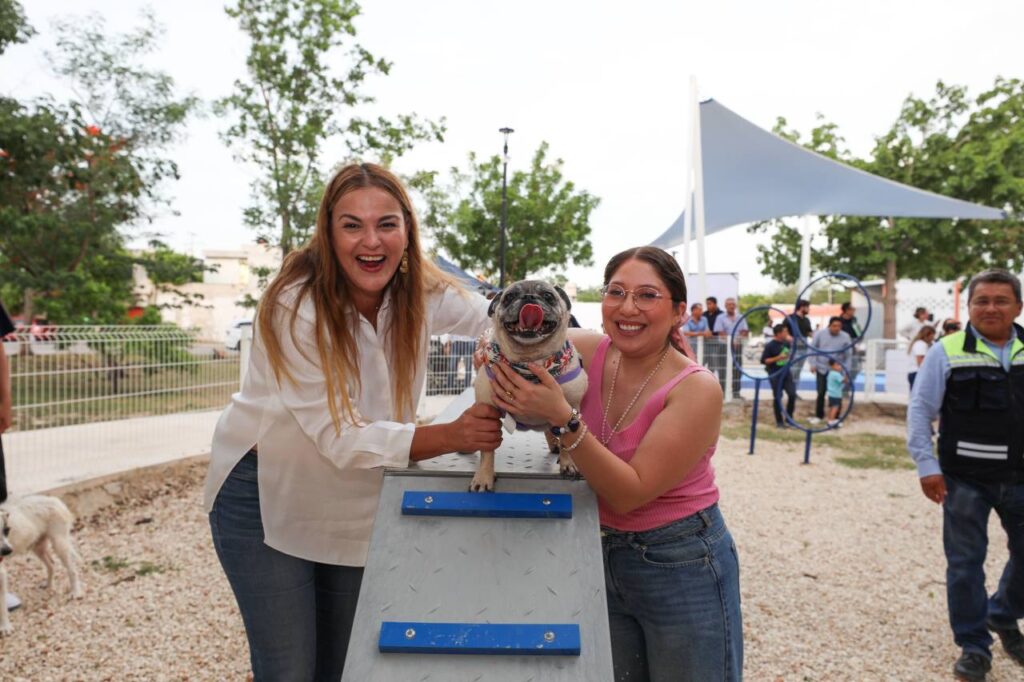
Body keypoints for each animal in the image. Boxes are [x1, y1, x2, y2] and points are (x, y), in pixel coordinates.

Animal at [0, 495, 84, 635]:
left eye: (6, 530)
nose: (7, 551)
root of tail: (55, 500)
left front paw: (5, 627)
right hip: (38, 546)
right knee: (51, 564)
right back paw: (48, 585)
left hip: (59, 543)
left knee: (72, 569)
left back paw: (75, 592)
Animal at [470, 280, 588, 492]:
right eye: (509, 297)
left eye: (548, 296)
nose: (529, 298)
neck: (530, 361)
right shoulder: (487, 410)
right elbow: (487, 450)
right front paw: (483, 476)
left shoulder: (568, 407)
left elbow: (568, 441)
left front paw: (569, 463)